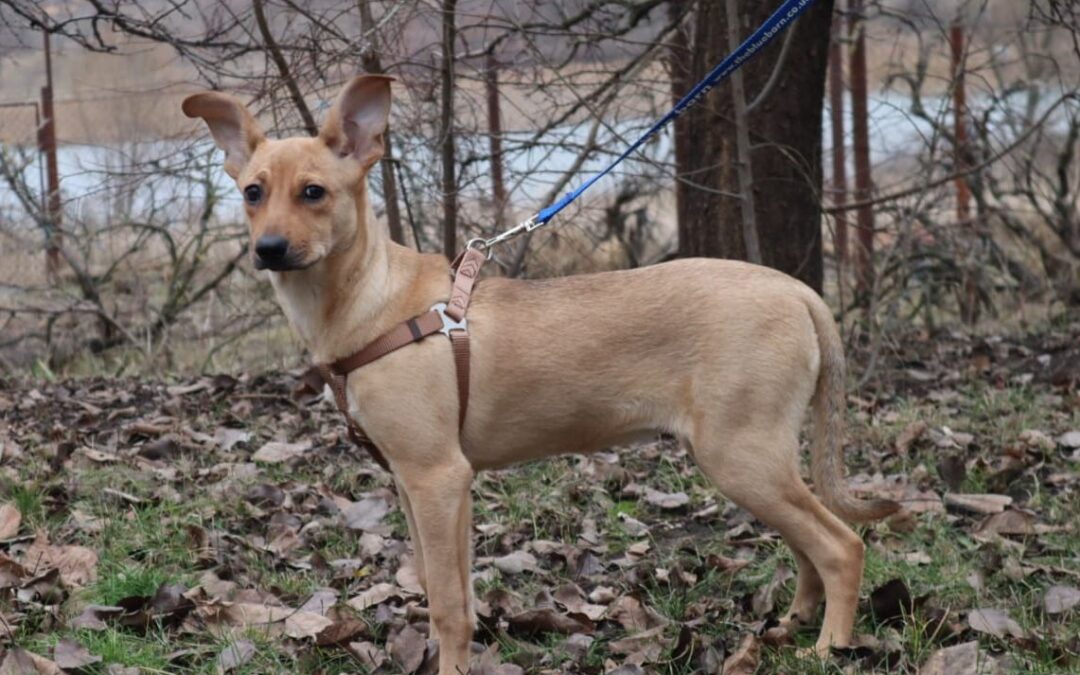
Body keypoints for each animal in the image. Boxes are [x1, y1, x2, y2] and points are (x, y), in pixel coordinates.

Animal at [181, 76, 898, 669]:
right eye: (252, 193)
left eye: (314, 193)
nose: (269, 249)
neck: (371, 299)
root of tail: (798, 291)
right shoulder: (421, 485)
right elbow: (448, 591)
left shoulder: (438, 477)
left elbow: (449, 605)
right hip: (760, 460)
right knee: (809, 544)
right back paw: (795, 622)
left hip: (740, 455)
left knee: (841, 545)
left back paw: (830, 647)